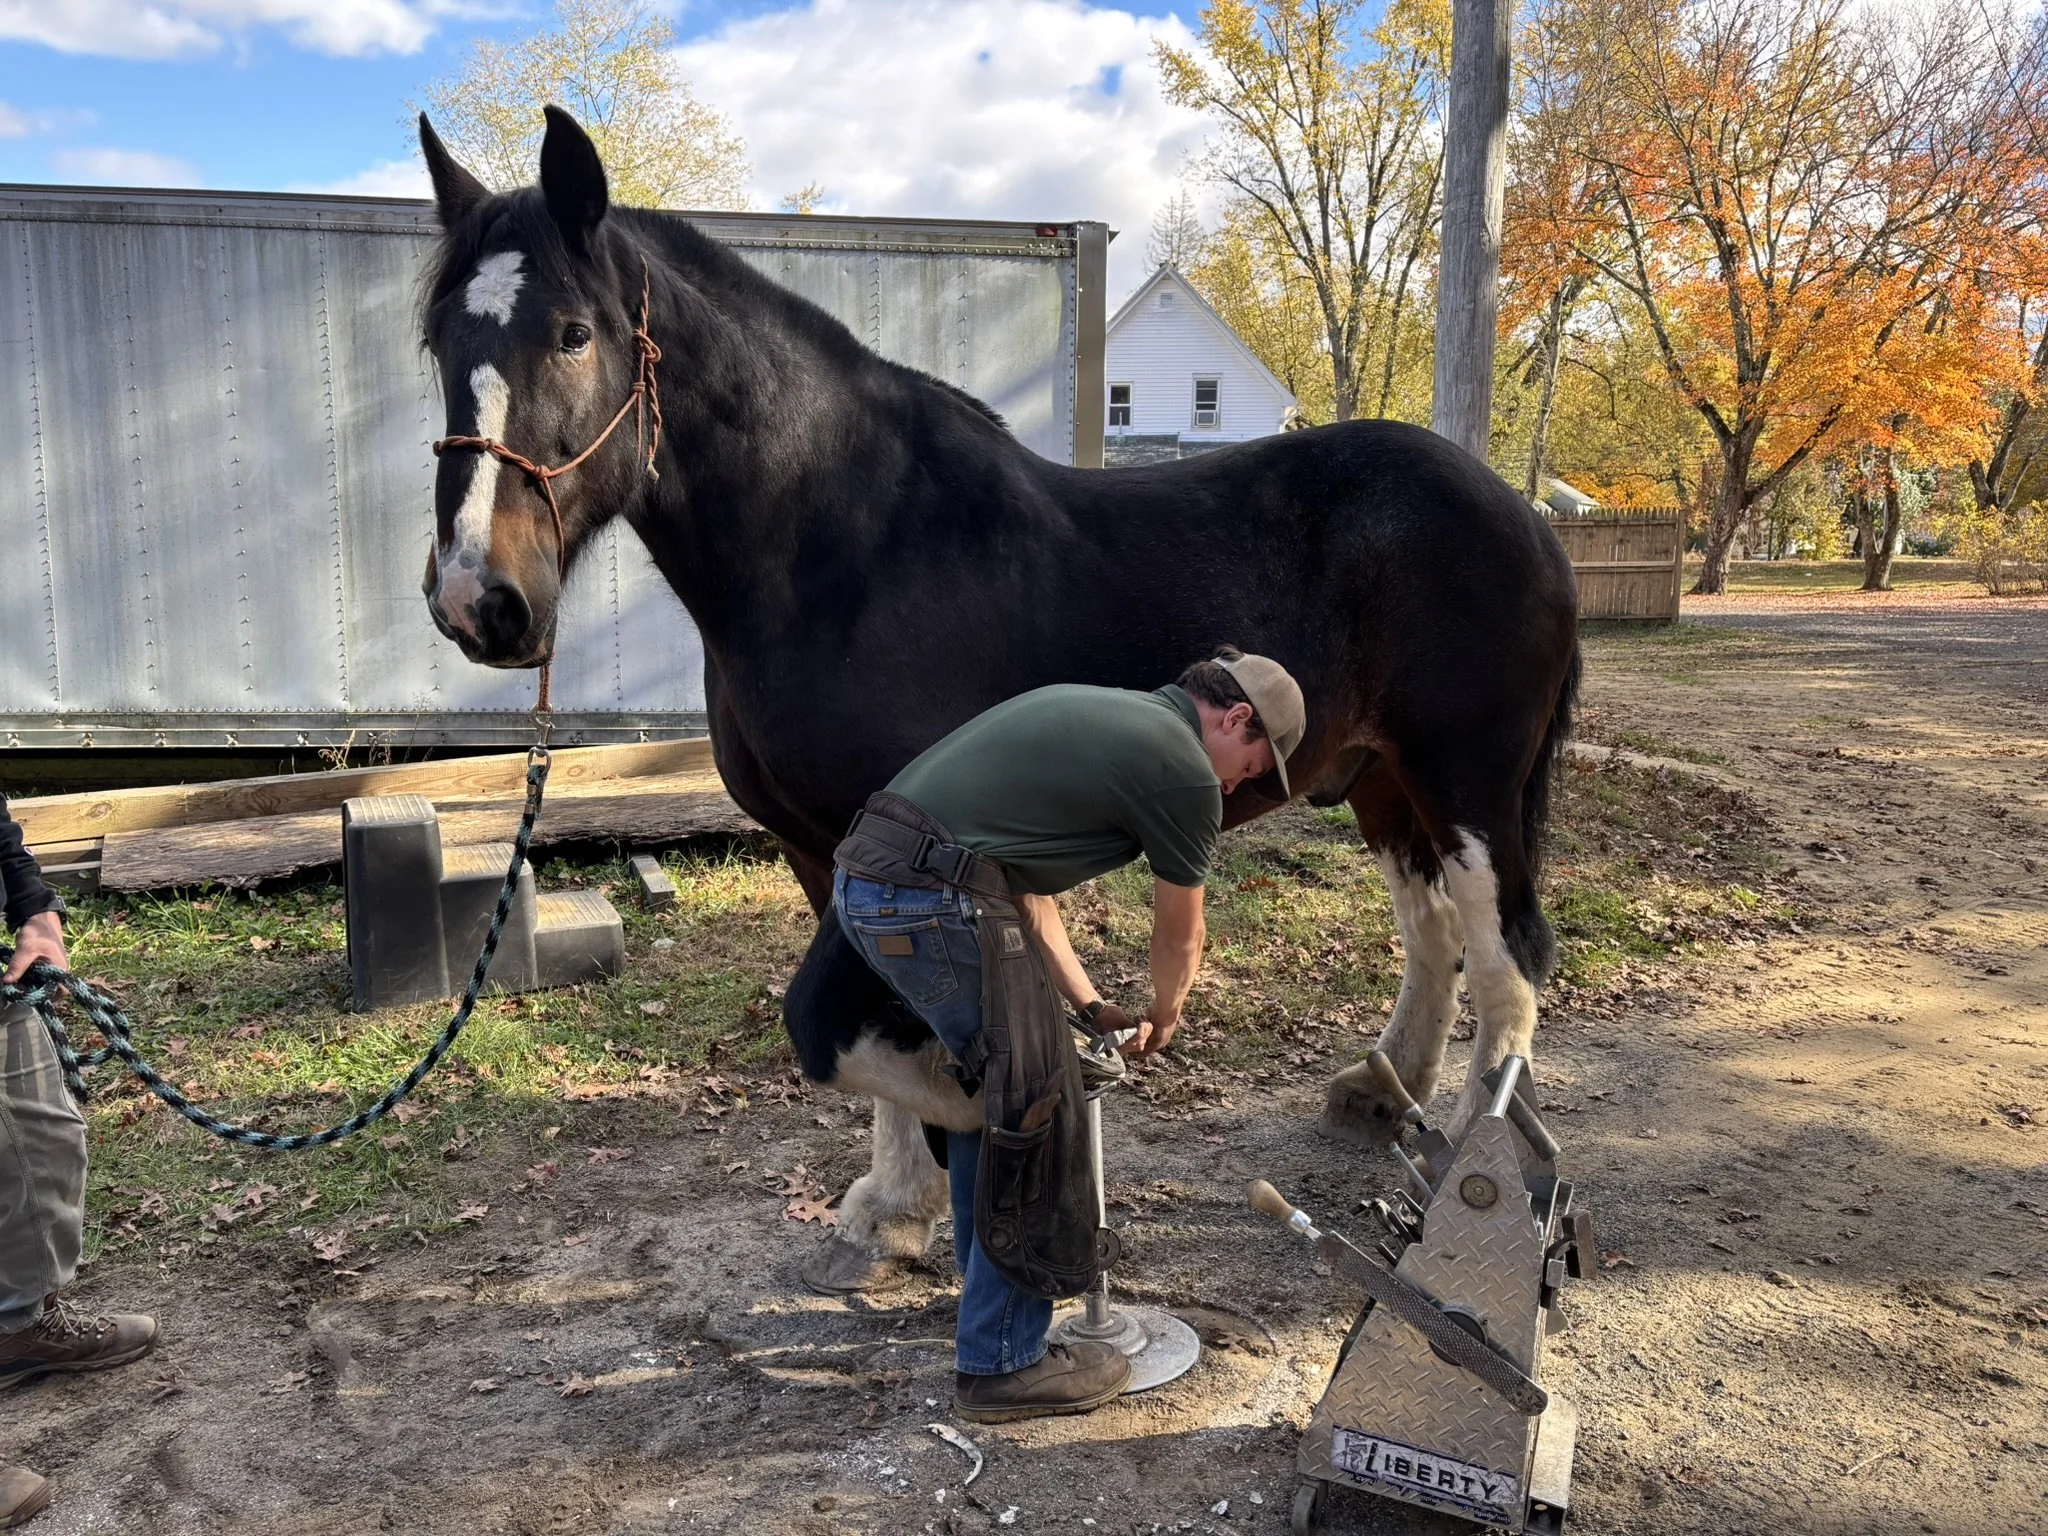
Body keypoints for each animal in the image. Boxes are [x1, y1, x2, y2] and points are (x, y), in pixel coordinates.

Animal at [412, 106, 1581, 1289]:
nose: (479, 598)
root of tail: (1522, 516)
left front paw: (942, 1169)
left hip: (1467, 786)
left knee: (1508, 961)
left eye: (572, 334)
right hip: (1384, 784)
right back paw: (1380, 1092)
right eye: (437, 347)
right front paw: (892, 1202)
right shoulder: (823, 850)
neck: (844, 546)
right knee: (1431, 932)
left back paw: (1466, 1179)